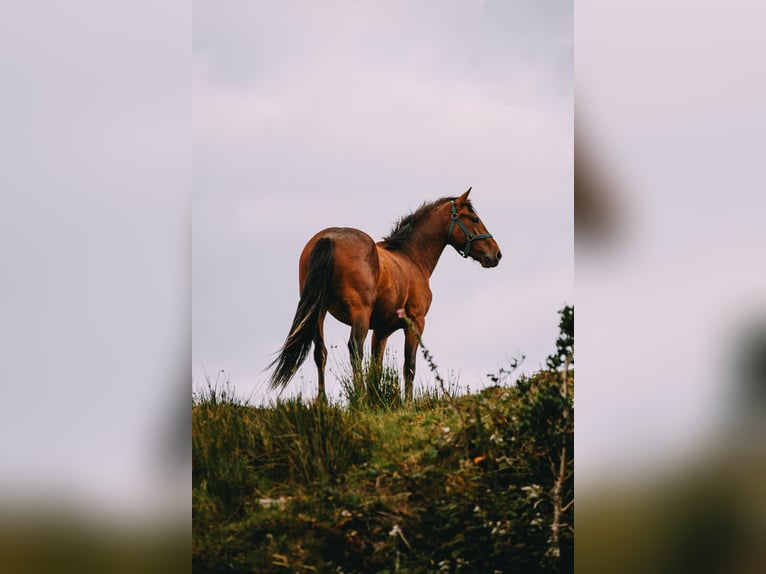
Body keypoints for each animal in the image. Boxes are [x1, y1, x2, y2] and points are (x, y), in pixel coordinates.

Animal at [268, 187, 501, 402]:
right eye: (474, 219)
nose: (497, 254)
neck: (411, 258)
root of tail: (329, 238)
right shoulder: (415, 323)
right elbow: (409, 366)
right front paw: (406, 404)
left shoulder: (381, 331)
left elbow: (377, 368)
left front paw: (377, 399)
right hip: (359, 313)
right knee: (355, 349)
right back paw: (359, 397)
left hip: (318, 313)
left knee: (320, 353)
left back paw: (323, 402)